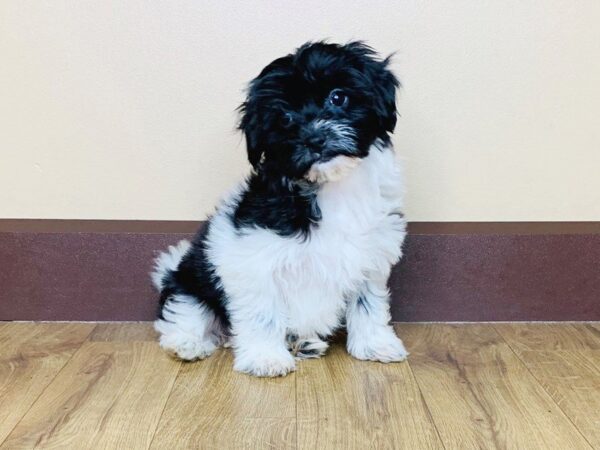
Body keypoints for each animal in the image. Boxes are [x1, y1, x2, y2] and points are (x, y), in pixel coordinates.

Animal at [152, 41, 410, 376]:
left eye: (338, 97)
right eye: (285, 118)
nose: (315, 138)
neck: (331, 187)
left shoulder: (371, 255)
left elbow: (368, 303)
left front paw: (375, 344)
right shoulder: (252, 259)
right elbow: (264, 312)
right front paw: (265, 358)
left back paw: (302, 343)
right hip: (189, 282)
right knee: (185, 314)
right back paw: (188, 344)